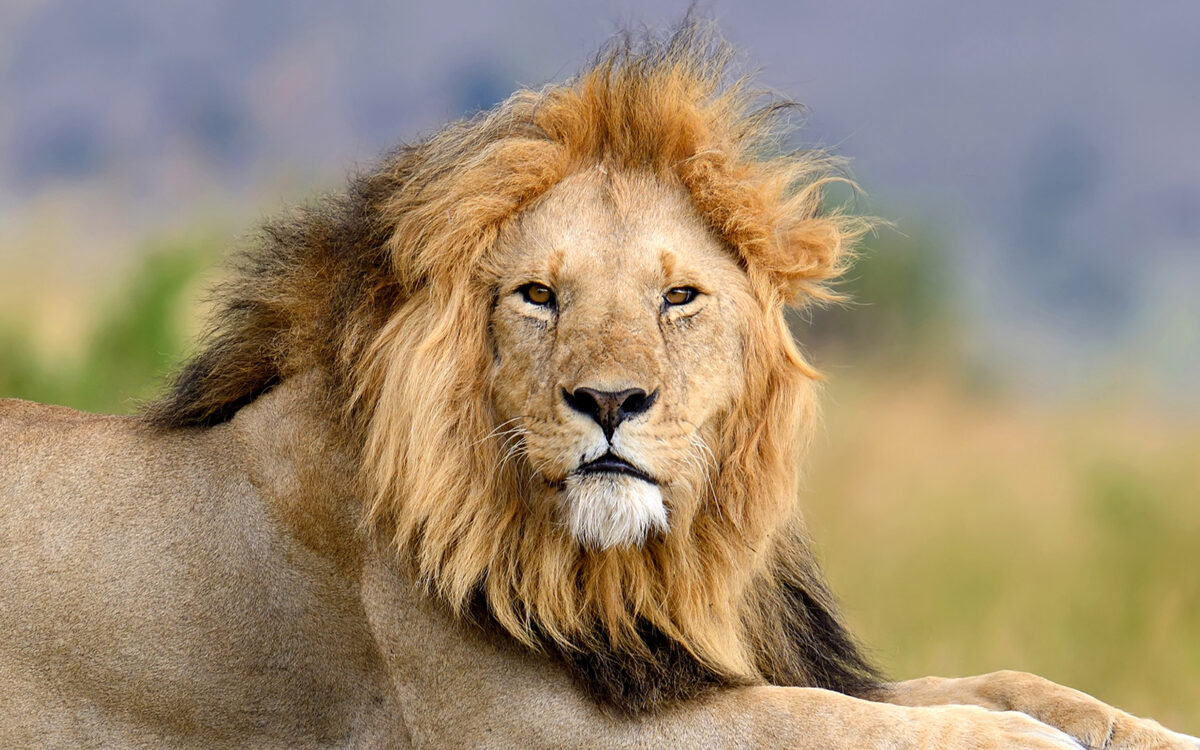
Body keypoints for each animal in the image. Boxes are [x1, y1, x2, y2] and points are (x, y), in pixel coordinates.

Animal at [0, 23, 1195, 748]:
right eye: (538, 295)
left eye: (678, 298)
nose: (612, 404)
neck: (633, 568)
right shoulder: (539, 723)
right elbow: (823, 721)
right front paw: (1015, 741)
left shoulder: (684, 662)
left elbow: (997, 680)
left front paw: (1131, 728)